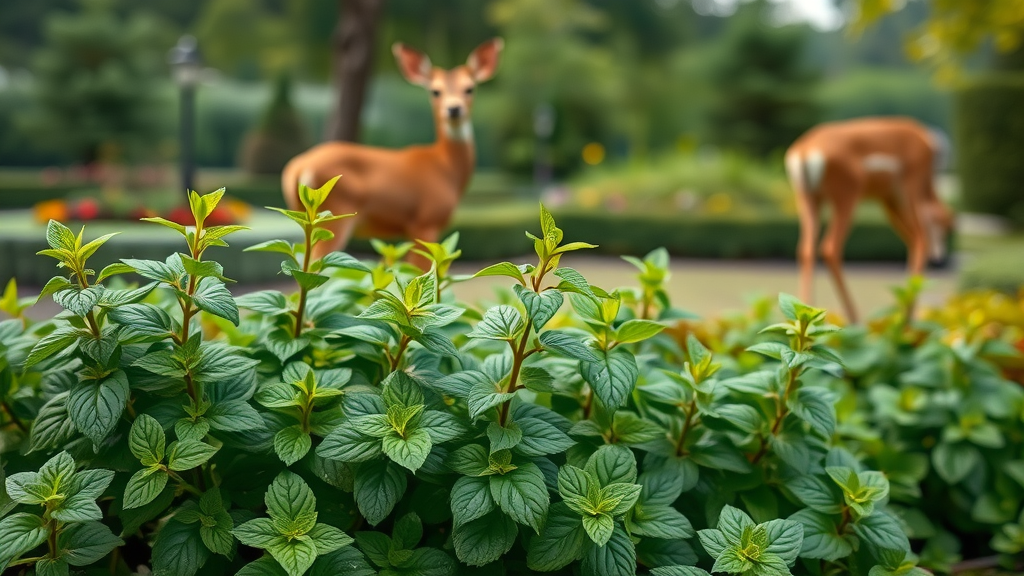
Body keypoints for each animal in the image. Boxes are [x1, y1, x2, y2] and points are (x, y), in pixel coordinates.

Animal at [281, 38, 504, 268]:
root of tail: (298, 166)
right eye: (435, 91)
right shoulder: (425, 222)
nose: (454, 109)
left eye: (470, 88)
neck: (445, 167)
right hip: (335, 214)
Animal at [784, 117, 954, 324]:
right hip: (849, 198)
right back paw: (855, 317)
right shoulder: (909, 189)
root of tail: (806, 149)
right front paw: (907, 316)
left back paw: (807, 312)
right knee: (830, 248)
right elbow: (922, 241)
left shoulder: (888, 201)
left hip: (809, 200)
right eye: (947, 228)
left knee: (805, 249)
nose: (941, 261)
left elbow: (914, 242)